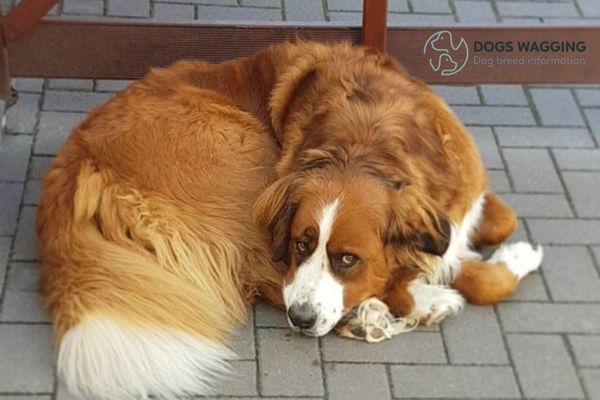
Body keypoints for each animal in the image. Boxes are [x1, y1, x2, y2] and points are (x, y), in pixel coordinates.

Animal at [37, 41, 544, 400]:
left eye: (347, 259)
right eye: (302, 243)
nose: (301, 320)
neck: (367, 140)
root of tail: (76, 159)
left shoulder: (464, 194)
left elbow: (496, 220)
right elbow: (472, 279)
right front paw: (472, 276)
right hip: (244, 152)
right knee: (261, 279)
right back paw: (389, 311)